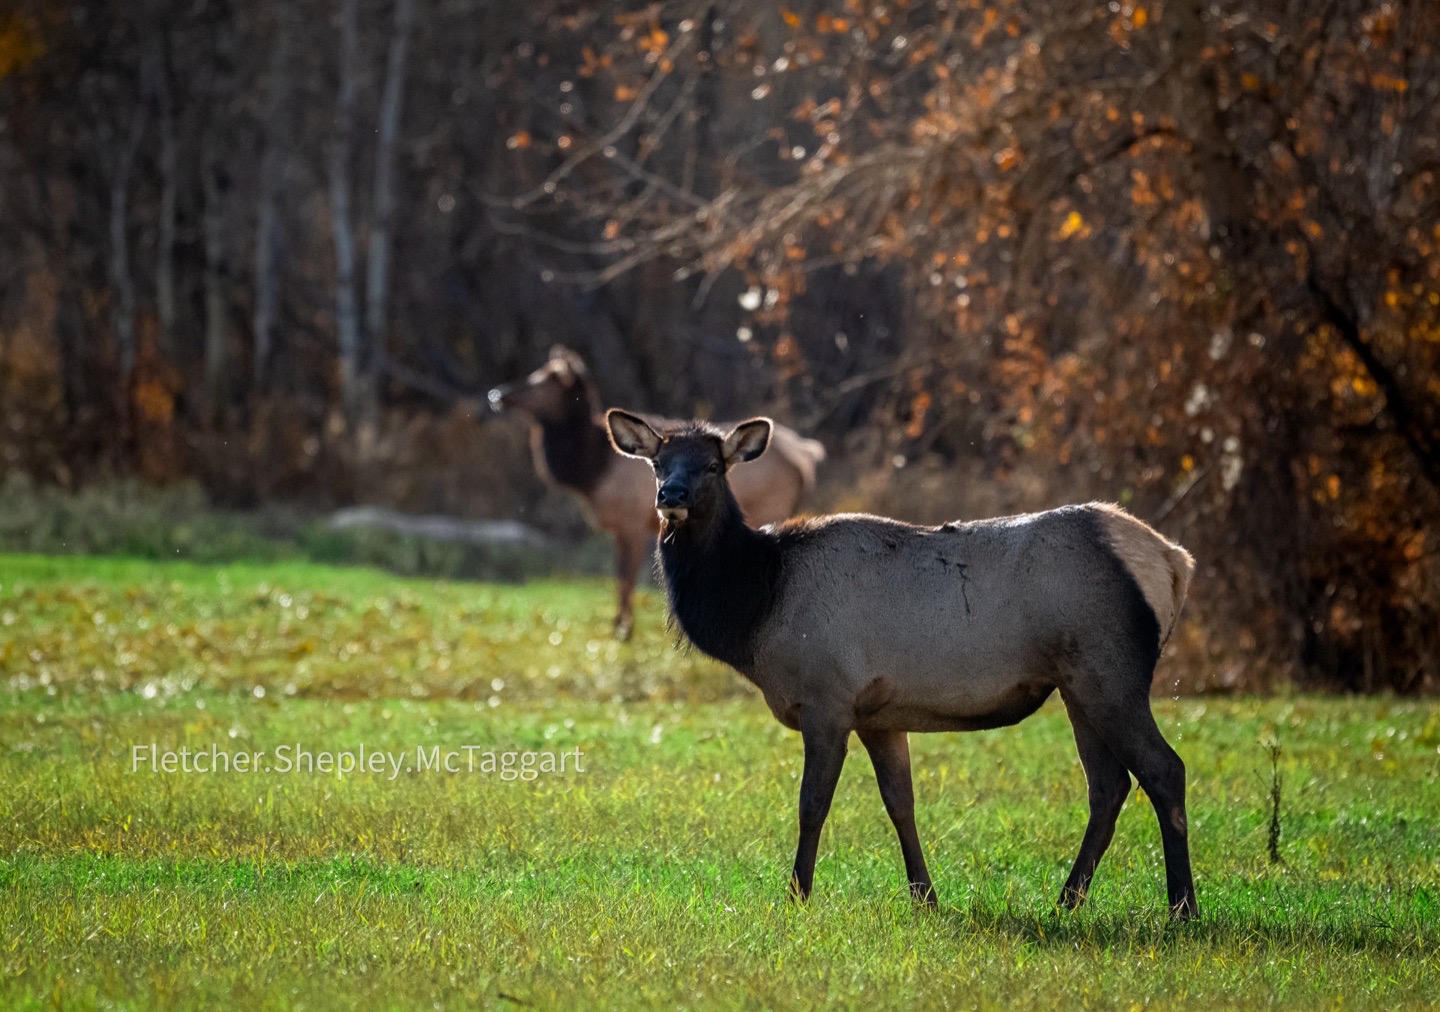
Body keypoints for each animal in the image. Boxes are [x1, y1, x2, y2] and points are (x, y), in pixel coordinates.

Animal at [488, 347, 825, 638]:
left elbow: (626, 578)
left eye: (545, 380)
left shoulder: (632, 521)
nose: (498, 395)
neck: (592, 471)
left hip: (771, 507)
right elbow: (620, 577)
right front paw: (620, 625)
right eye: (537, 373)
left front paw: (623, 630)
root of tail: (806, 453)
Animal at [606, 409, 1200, 919]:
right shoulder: (879, 714)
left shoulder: (827, 697)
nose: (670, 496)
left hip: (1111, 669)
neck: (759, 604)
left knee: (1164, 769)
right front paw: (926, 897)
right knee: (1108, 786)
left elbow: (811, 803)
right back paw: (1067, 900)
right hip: (1077, 683)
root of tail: (1175, 562)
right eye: (658, 461)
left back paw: (1182, 908)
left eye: (713, 465)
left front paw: (797, 895)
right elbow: (901, 805)